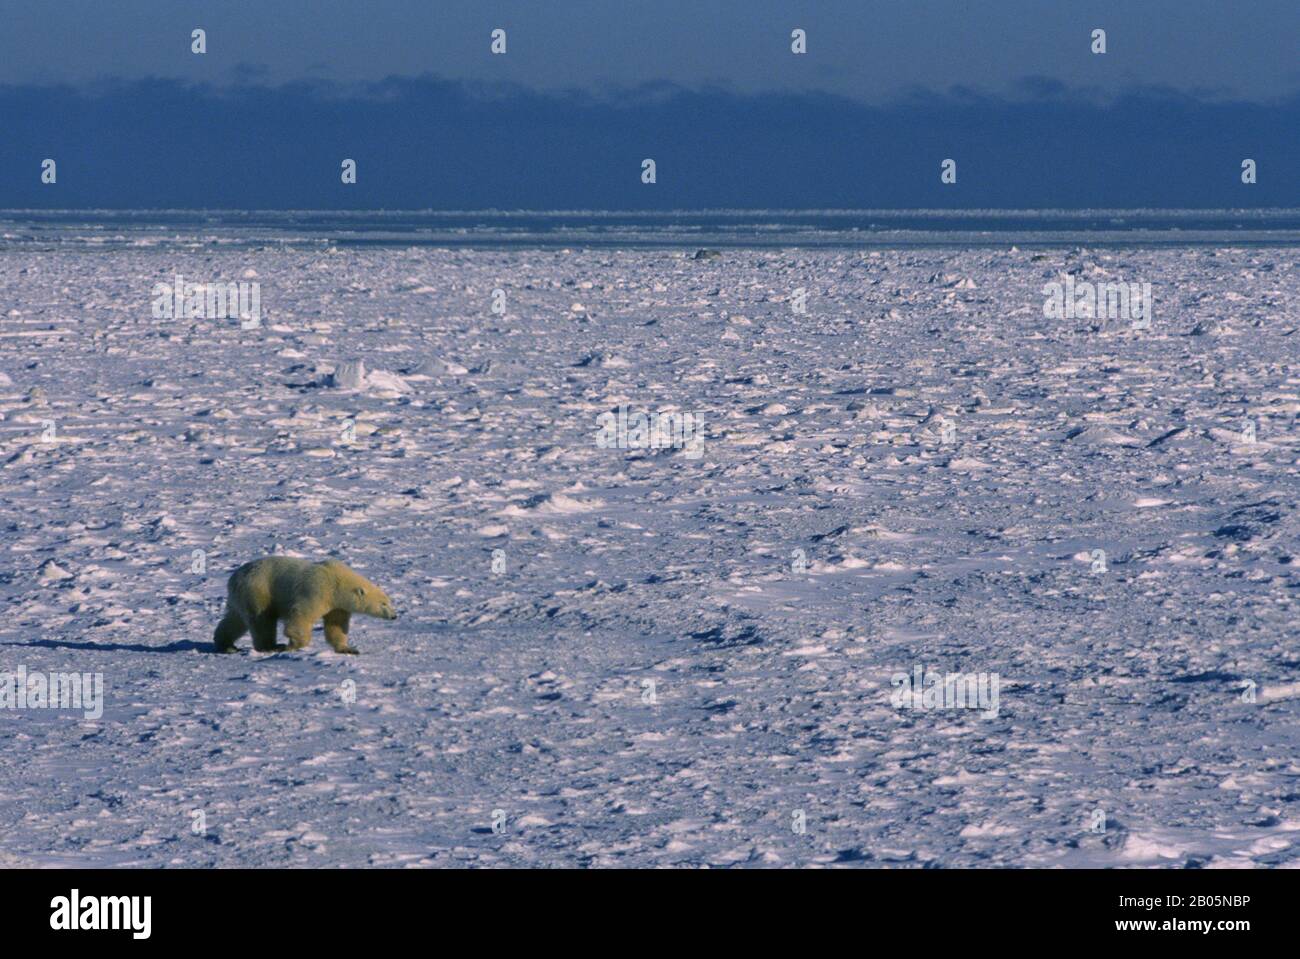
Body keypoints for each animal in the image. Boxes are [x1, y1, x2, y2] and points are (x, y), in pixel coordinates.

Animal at [213, 557, 397, 655]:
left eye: (390, 602)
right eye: (383, 604)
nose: (395, 616)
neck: (337, 581)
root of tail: (233, 578)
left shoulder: (337, 605)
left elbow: (336, 626)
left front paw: (348, 649)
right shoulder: (318, 590)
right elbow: (302, 615)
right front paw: (295, 644)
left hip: (241, 596)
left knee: (235, 620)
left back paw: (227, 645)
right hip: (258, 590)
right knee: (262, 619)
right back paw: (271, 646)